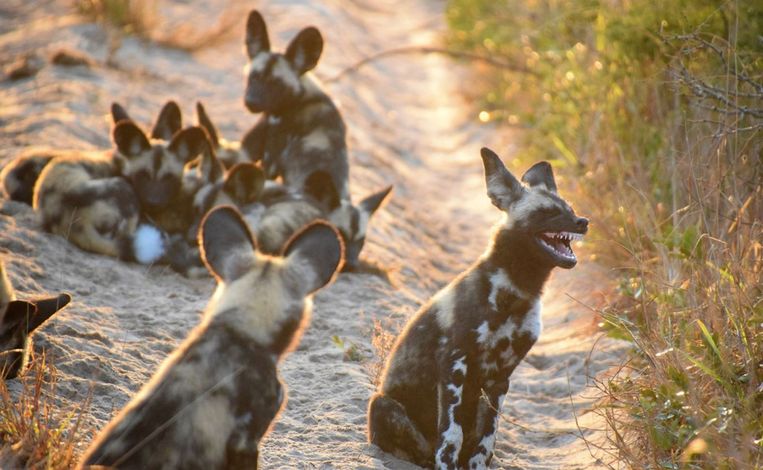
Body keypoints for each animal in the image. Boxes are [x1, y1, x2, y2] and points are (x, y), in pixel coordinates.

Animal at [368, 148, 592, 470]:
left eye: (570, 209)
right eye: (547, 212)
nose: (583, 222)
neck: (518, 291)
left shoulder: (500, 379)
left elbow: (485, 440)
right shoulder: (454, 364)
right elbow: (452, 436)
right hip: (382, 404)